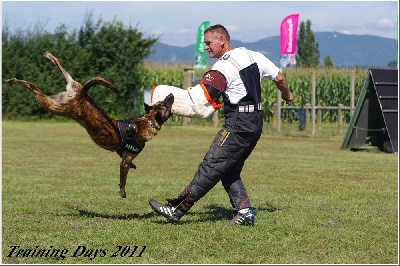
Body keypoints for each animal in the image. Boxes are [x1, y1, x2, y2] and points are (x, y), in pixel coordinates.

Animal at [4, 51, 173, 197]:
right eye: (164, 104)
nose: (171, 94)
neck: (148, 121)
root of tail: (81, 95)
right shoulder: (125, 161)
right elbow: (123, 177)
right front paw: (122, 192)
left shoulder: (121, 153)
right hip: (53, 106)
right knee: (32, 85)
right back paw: (18, 81)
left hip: (71, 86)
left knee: (61, 68)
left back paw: (48, 56)